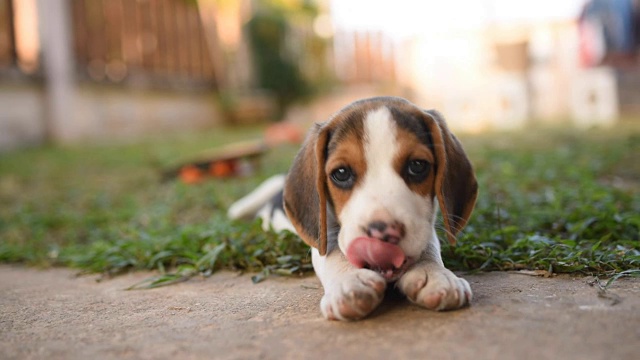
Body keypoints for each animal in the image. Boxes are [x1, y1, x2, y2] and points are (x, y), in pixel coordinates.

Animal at [228, 96, 478, 320]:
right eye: (341, 173)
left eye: (417, 166)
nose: (382, 233)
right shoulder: (324, 235)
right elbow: (334, 253)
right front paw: (349, 282)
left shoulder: (425, 227)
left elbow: (428, 245)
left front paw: (434, 274)